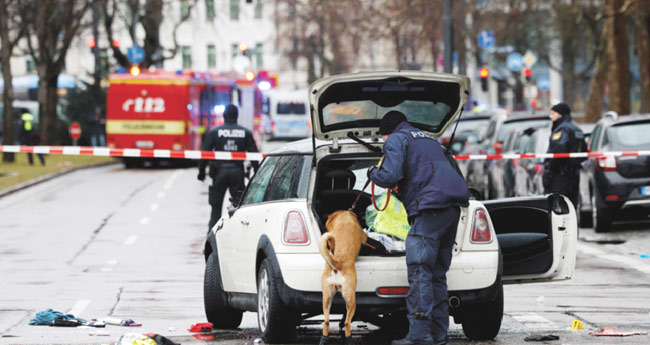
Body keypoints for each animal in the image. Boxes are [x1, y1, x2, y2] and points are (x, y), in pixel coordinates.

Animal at [318, 208, 368, 342]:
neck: (344, 216)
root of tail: (337, 265)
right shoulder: (364, 237)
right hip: (351, 300)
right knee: (347, 323)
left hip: (326, 298)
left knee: (326, 322)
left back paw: (324, 339)